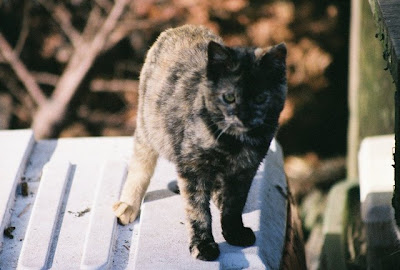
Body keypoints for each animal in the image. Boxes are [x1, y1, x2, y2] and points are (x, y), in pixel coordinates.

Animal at [113, 24, 288, 260]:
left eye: (261, 98)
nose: (244, 117)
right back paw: (128, 204)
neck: (232, 143)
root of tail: (182, 27)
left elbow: (235, 204)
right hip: (148, 126)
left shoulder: (246, 169)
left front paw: (234, 232)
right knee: (141, 165)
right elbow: (197, 211)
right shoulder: (192, 168)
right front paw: (203, 244)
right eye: (229, 97)